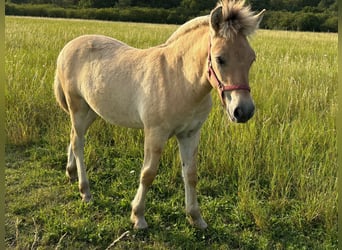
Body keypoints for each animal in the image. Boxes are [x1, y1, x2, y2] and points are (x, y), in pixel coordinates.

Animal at [54, 0, 266, 229]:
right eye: (220, 59)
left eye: (252, 58)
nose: (243, 111)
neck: (180, 79)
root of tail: (68, 47)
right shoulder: (155, 133)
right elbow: (148, 173)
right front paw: (138, 216)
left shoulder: (190, 134)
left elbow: (190, 174)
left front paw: (196, 217)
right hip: (78, 108)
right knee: (78, 143)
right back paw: (85, 191)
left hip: (91, 111)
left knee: (73, 136)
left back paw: (71, 173)